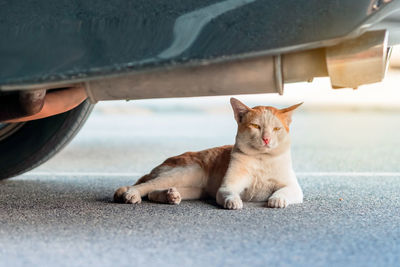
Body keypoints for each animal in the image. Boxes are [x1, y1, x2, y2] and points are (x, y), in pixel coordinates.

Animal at [113, 97, 304, 210]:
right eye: (256, 126)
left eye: (277, 129)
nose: (266, 139)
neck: (261, 159)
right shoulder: (226, 187)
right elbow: (230, 194)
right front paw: (234, 202)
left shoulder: (294, 188)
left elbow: (283, 191)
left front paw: (277, 200)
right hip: (187, 172)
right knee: (146, 185)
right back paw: (132, 194)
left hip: (196, 190)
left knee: (153, 192)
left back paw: (170, 196)